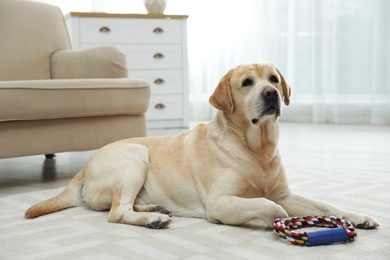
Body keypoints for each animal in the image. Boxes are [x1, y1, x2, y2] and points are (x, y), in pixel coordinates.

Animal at [24, 63, 378, 230]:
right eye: (247, 83)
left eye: (274, 79)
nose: (271, 94)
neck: (257, 149)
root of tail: (84, 168)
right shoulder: (220, 203)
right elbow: (267, 205)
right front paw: (278, 218)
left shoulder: (285, 192)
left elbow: (324, 205)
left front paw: (356, 216)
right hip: (135, 157)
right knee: (116, 212)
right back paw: (152, 219)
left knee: (120, 207)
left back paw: (155, 209)